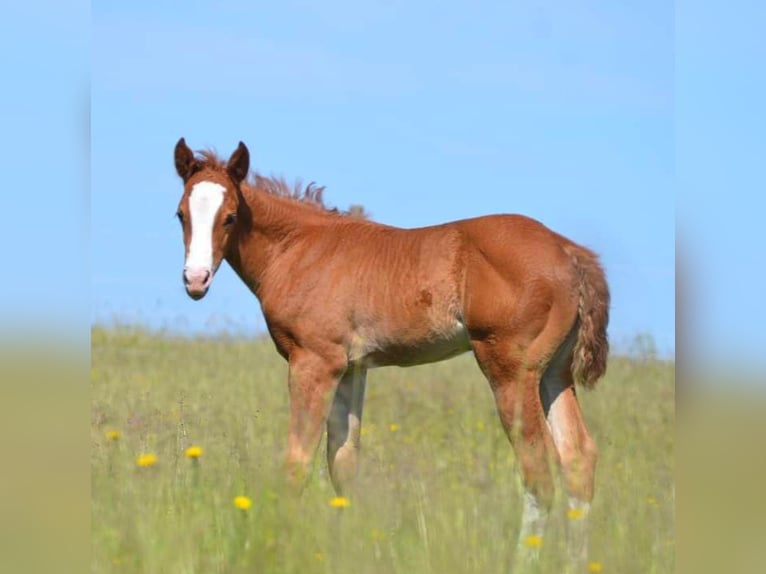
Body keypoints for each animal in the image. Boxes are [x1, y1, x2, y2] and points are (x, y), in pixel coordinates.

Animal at [174, 138, 612, 568]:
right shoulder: (352, 368)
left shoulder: (314, 361)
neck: (298, 249)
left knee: (538, 470)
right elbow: (343, 462)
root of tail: (569, 251)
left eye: (230, 217)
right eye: (180, 215)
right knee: (578, 459)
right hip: (555, 374)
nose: (196, 280)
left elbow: (298, 459)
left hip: (510, 370)